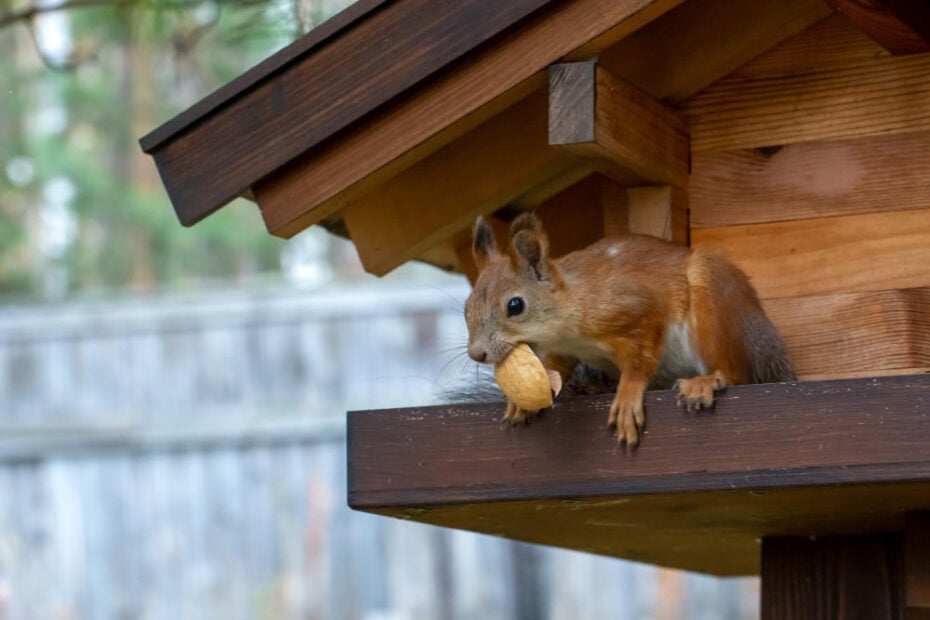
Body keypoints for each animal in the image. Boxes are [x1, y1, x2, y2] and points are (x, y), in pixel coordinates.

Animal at [462, 213, 792, 446]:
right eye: (466, 308)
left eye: (515, 305)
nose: (477, 354)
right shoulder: (564, 350)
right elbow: (555, 369)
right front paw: (522, 402)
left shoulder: (637, 309)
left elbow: (640, 359)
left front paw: (627, 395)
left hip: (714, 299)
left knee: (737, 374)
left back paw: (706, 382)